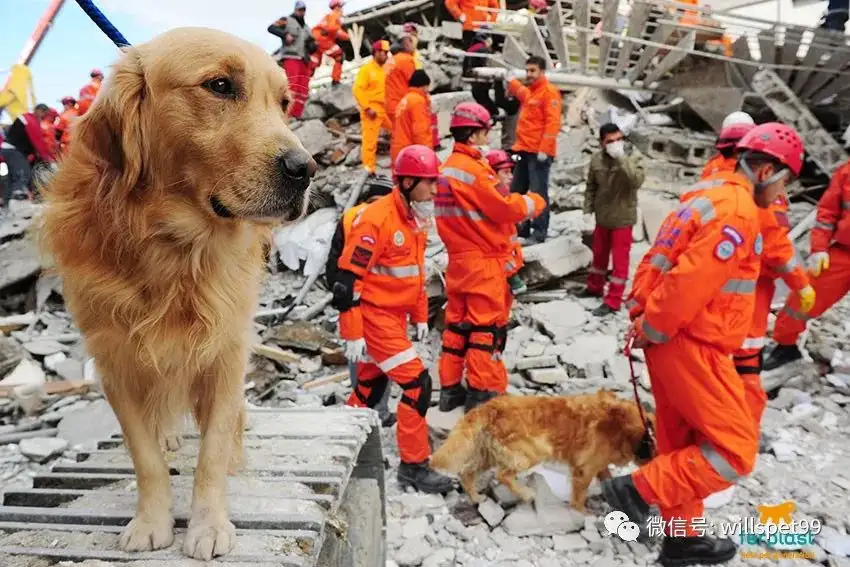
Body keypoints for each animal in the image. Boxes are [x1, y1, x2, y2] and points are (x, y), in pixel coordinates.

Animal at [40, 26, 318, 560]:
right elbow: (144, 456)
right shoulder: (115, 360)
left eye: (283, 102)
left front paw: (208, 524)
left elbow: (211, 451)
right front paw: (152, 521)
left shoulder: (226, 349)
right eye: (220, 86)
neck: (171, 247)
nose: (305, 168)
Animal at [430, 392, 648, 512]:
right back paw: (526, 494)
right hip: (533, 451)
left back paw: (476, 497)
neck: (622, 425)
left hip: (488, 453)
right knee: (503, 475)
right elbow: (580, 494)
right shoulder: (585, 468)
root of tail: (489, 407)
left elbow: (606, 476)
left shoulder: (597, 463)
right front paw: (582, 512)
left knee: (467, 473)